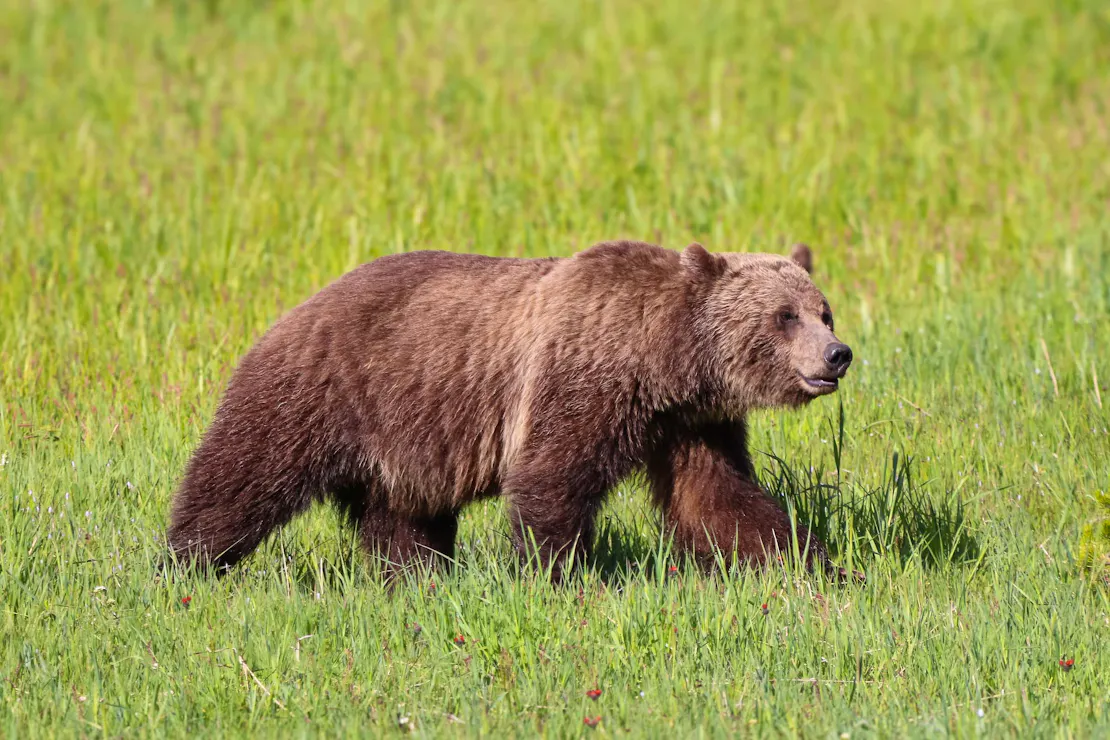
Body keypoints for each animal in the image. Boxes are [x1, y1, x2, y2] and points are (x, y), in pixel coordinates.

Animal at [166, 240, 853, 583]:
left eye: (824, 311)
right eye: (784, 315)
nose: (838, 354)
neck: (662, 360)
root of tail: (296, 307)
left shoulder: (689, 423)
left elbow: (719, 499)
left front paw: (814, 567)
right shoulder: (582, 379)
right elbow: (552, 477)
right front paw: (557, 575)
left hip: (405, 435)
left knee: (401, 517)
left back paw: (416, 578)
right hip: (322, 391)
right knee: (240, 476)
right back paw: (185, 565)